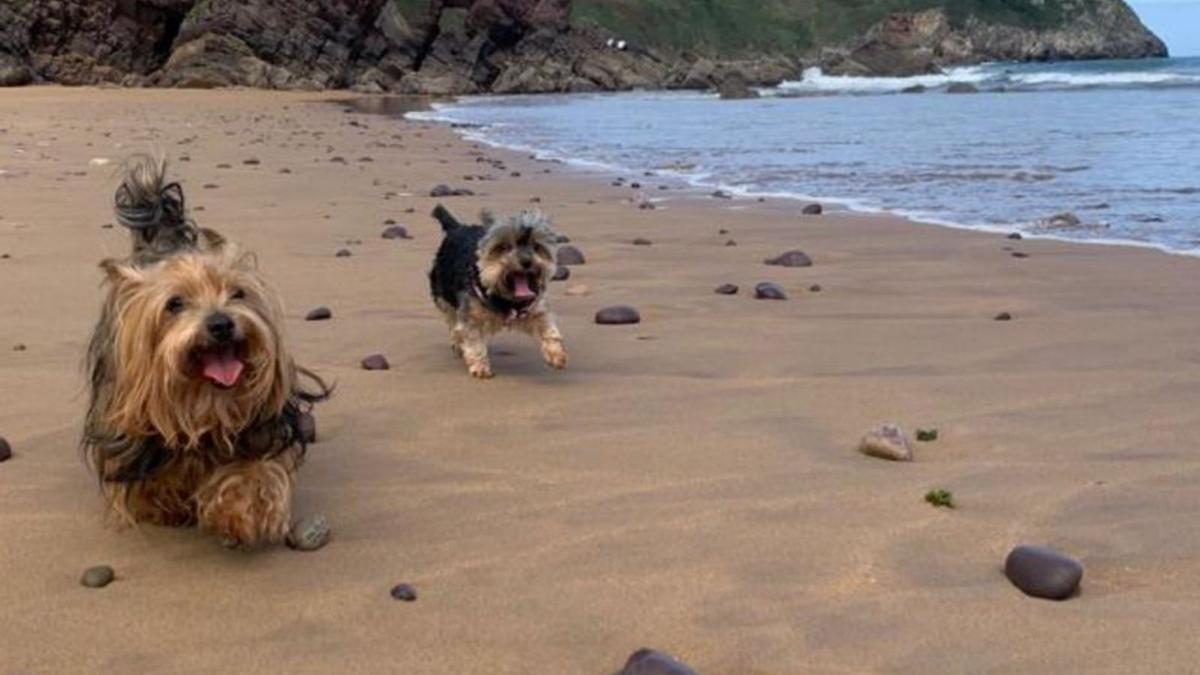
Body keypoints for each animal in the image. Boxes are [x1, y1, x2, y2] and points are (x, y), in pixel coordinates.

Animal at [82, 154, 328, 542]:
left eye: (238, 293)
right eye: (174, 304)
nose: (221, 324)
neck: (204, 402)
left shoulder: (259, 430)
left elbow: (253, 471)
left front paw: (239, 511)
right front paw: (167, 506)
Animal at [429, 201, 564, 374]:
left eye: (536, 246)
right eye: (504, 247)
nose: (527, 262)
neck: (506, 298)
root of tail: (457, 228)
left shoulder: (534, 308)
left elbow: (548, 328)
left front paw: (556, 354)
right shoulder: (469, 313)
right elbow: (473, 338)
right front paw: (480, 367)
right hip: (442, 290)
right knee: (451, 319)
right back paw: (457, 343)